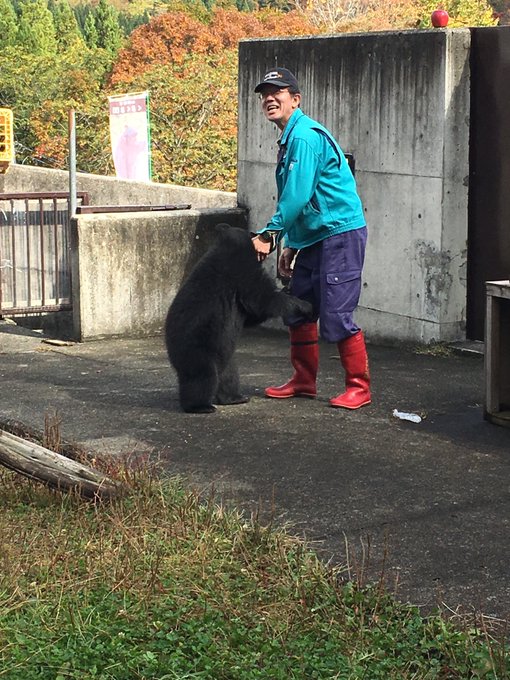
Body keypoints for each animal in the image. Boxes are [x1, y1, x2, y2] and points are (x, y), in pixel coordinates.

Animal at [165, 224, 313, 413]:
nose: (269, 239)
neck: (229, 247)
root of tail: (170, 351)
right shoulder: (241, 271)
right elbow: (263, 300)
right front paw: (303, 304)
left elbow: (252, 313)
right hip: (197, 347)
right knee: (202, 377)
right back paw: (201, 406)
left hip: (224, 355)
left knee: (228, 375)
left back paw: (235, 397)